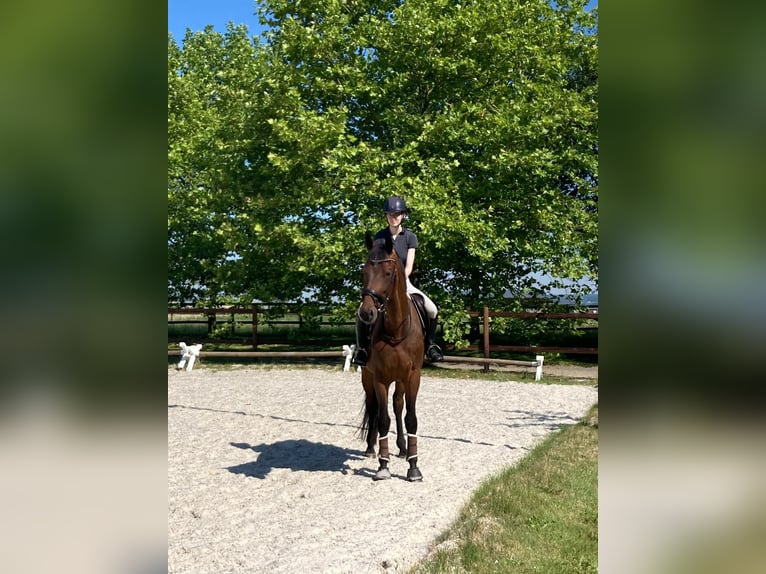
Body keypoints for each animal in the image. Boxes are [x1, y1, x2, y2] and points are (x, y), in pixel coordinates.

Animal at [358, 230, 426, 482]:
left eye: (388, 273)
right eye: (364, 272)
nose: (367, 313)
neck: (396, 328)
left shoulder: (412, 376)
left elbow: (410, 418)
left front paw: (413, 467)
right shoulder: (379, 378)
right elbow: (383, 419)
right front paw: (383, 465)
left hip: (401, 378)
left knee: (397, 404)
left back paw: (403, 448)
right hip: (367, 377)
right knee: (374, 407)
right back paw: (371, 448)